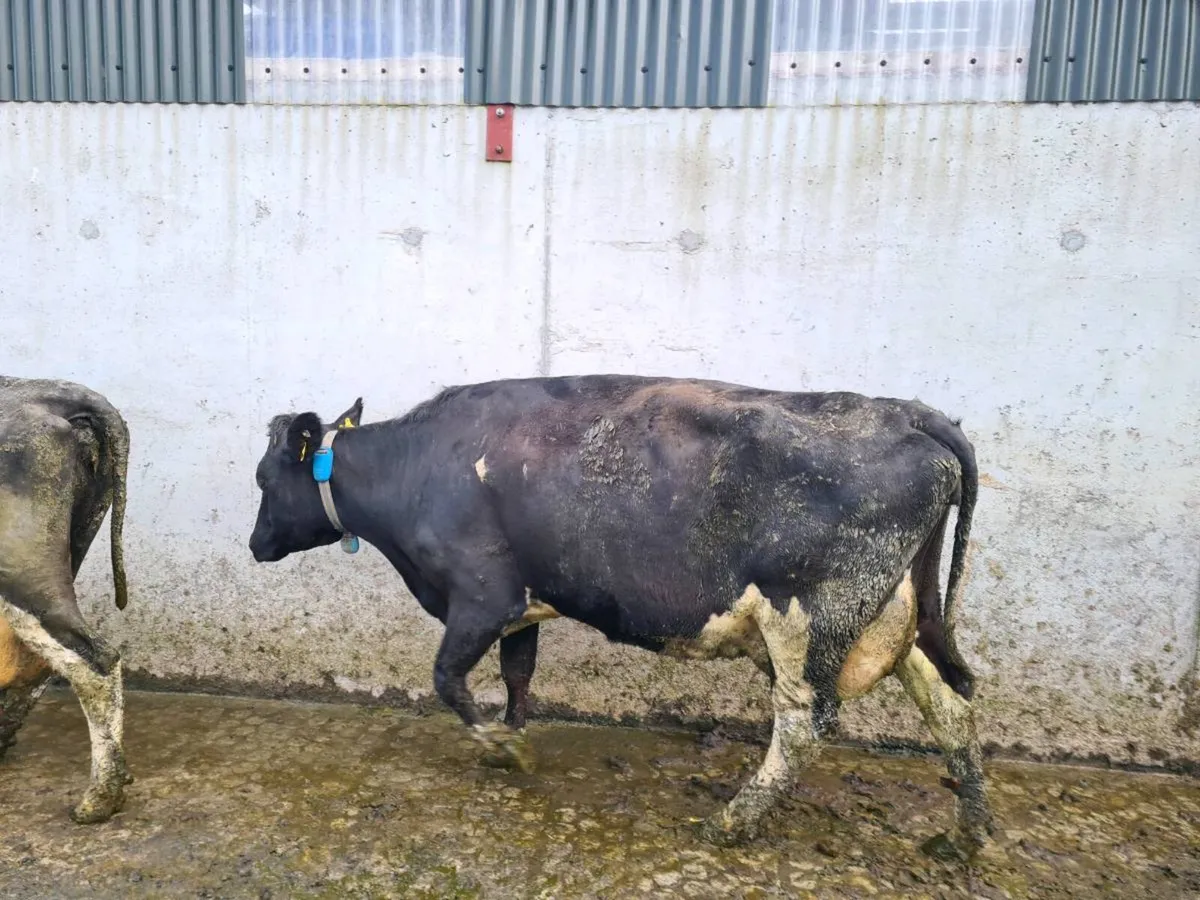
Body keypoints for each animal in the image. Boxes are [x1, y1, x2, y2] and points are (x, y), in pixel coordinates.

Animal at [248, 375, 994, 851]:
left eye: (262, 479)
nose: (255, 545)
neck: (420, 469)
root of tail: (907, 413)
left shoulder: (481, 597)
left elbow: (448, 681)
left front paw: (498, 746)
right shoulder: (524, 606)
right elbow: (518, 675)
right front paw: (514, 739)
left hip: (811, 617)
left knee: (806, 723)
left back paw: (732, 823)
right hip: (902, 613)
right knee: (951, 702)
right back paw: (967, 831)